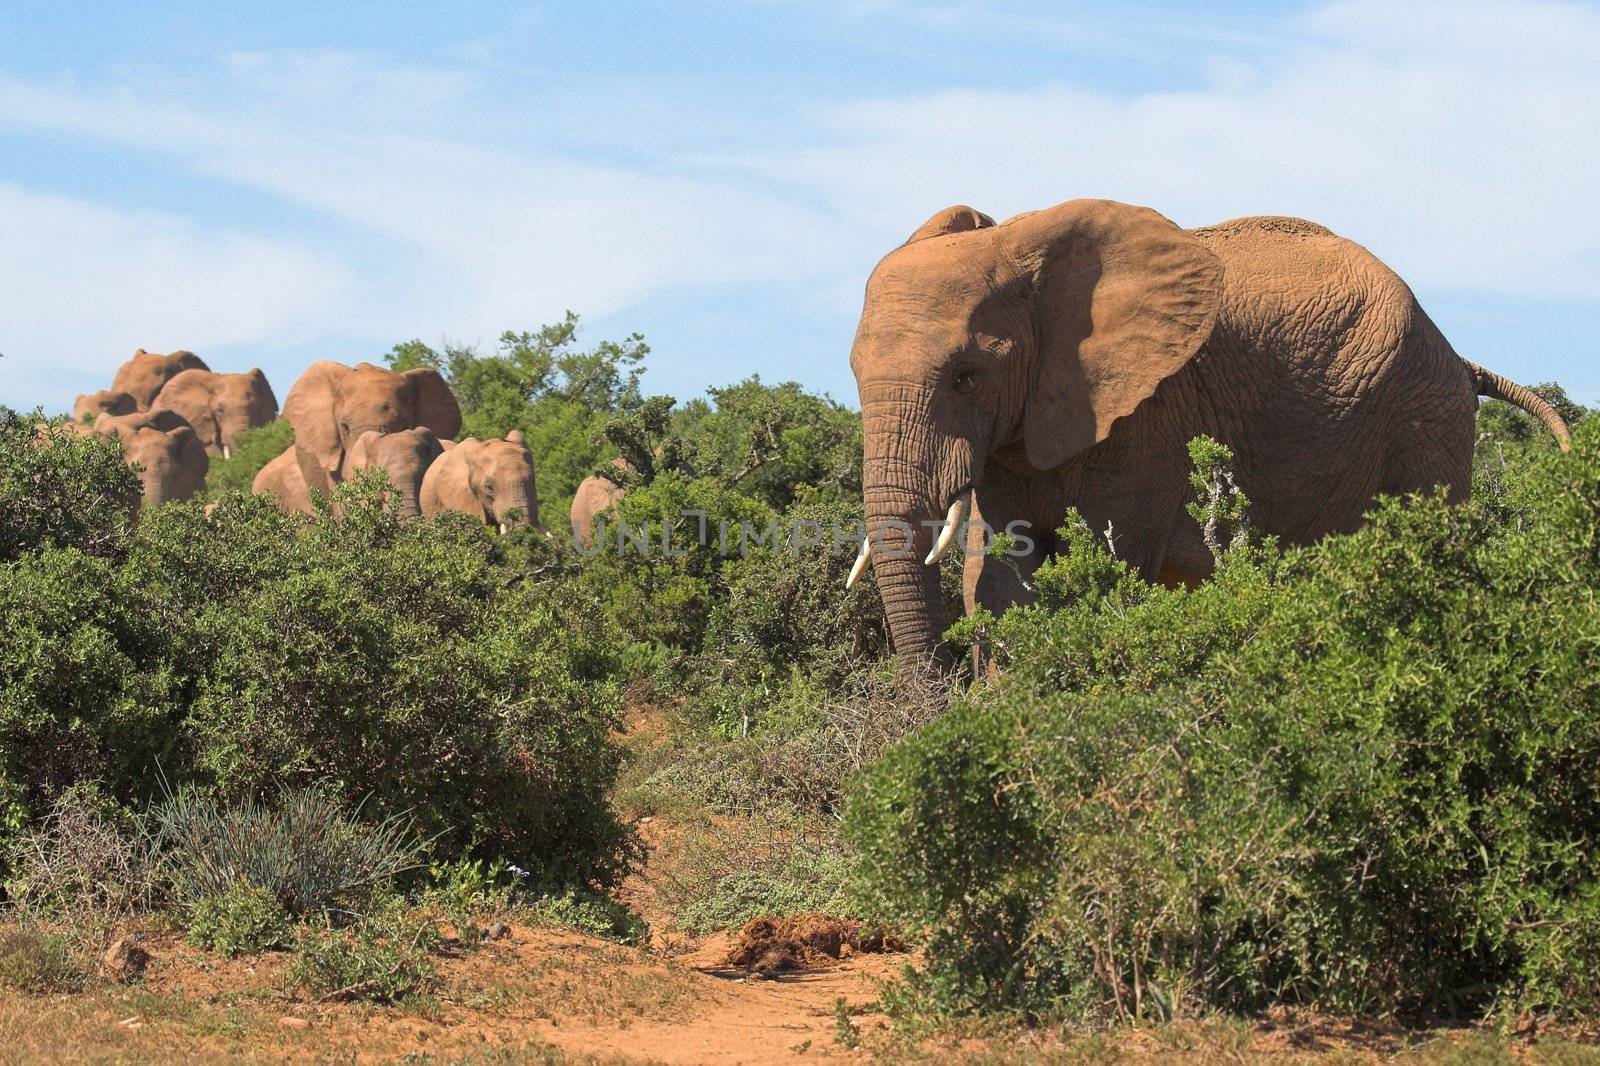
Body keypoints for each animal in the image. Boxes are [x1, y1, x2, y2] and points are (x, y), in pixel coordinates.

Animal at [844, 198, 1568, 665]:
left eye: (967, 376)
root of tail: (1460, 357)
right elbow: (1003, 586)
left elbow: (1101, 569)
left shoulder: (1147, 418)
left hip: (1426, 423)